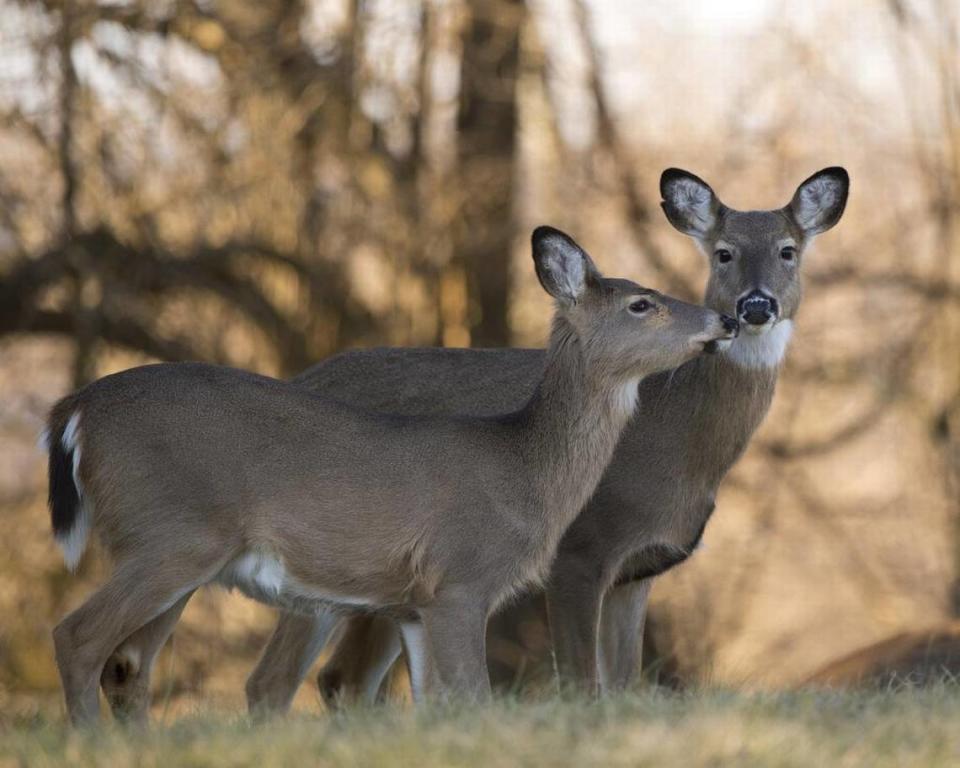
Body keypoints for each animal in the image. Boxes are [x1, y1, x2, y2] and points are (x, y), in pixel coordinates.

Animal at [94, 170, 844, 720]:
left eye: (789, 250)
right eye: (722, 252)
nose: (751, 307)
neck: (679, 438)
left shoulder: (642, 570)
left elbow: (626, 684)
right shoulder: (582, 550)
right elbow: (583, 684)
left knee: (330, 679)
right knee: (275, 680)